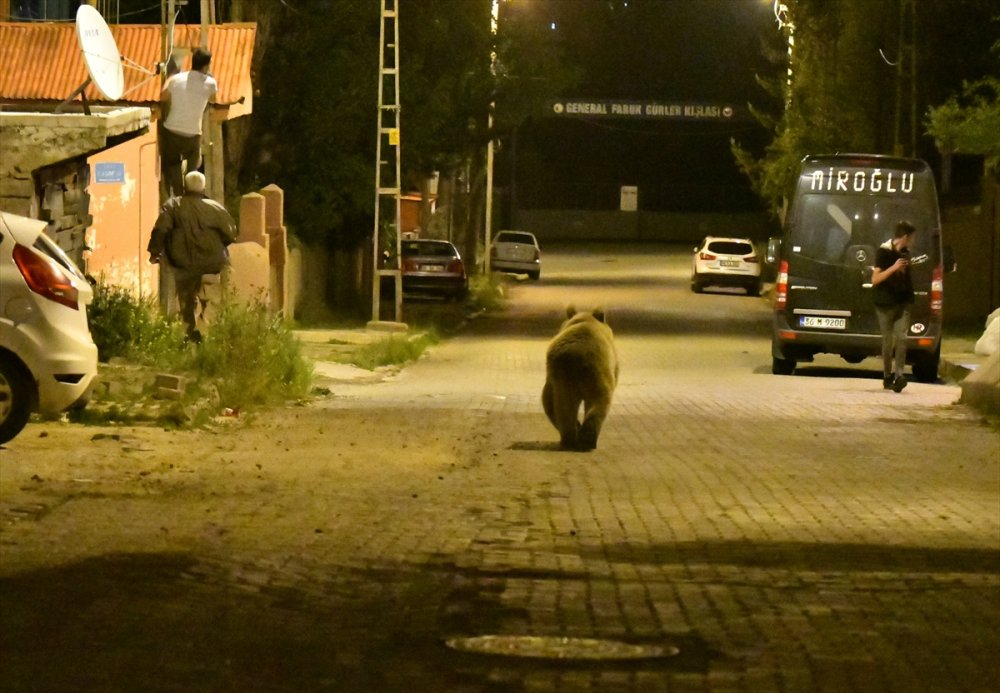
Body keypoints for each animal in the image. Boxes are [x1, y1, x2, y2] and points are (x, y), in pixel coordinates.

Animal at [540, 306, 616, 452]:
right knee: (599, 402)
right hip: (596, 373)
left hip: (562, 378)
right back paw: (585, 439)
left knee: (561, 406)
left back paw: (573, 437)